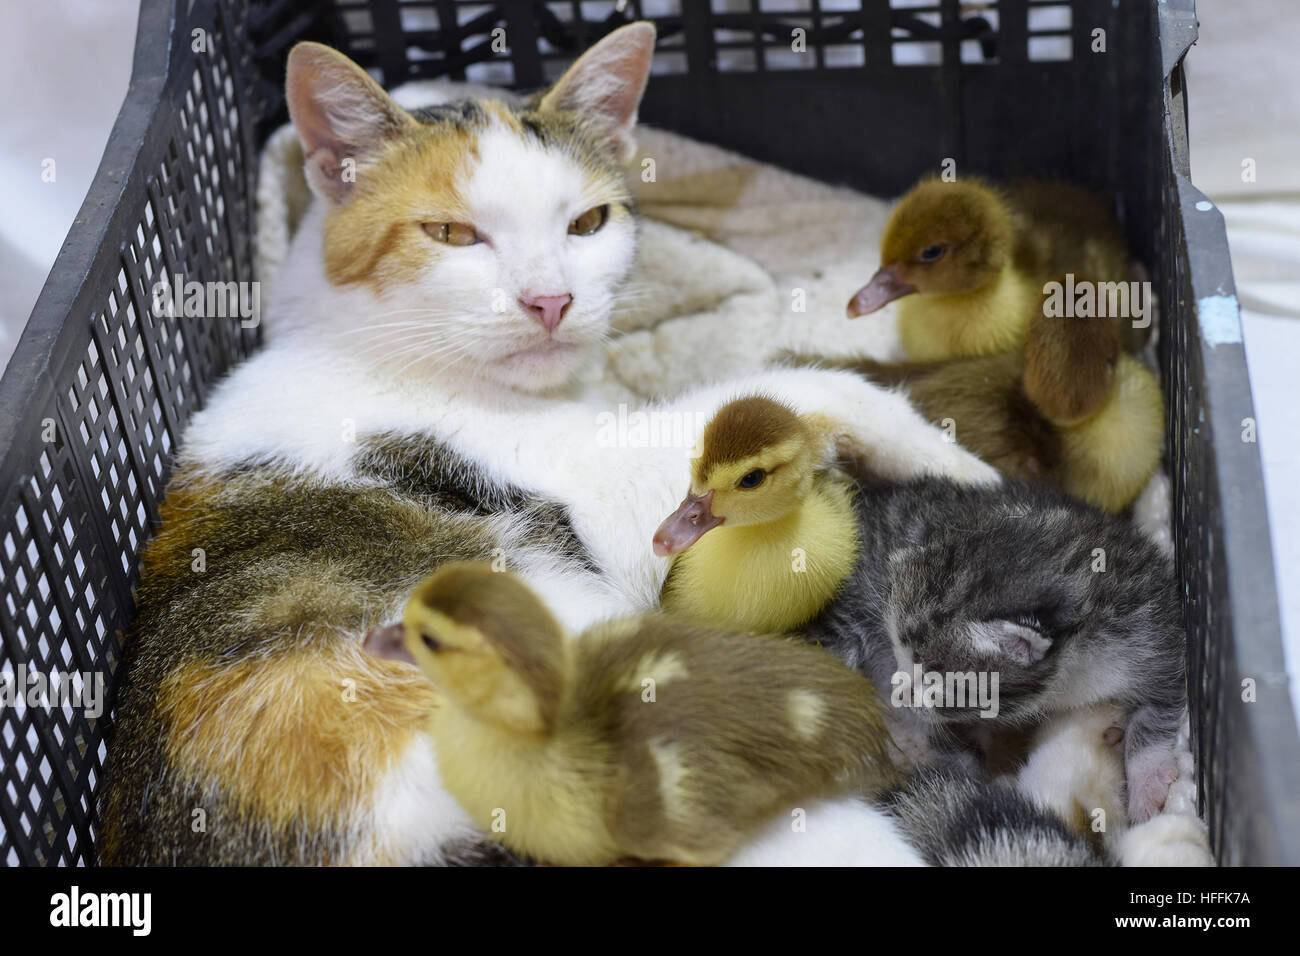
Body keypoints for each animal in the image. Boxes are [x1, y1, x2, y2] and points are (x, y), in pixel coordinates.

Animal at [101, 24, 993, 868]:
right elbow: (786, 394)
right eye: (452, 233)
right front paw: (958, 464)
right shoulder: (613, 489)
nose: (550, 300)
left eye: (588, 223)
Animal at [806, 478, 1190, 822]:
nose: (899, 696)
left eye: (934, 679)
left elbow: (1155, 713)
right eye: (902, 658)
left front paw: (1147, 786)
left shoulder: (1155, 634)